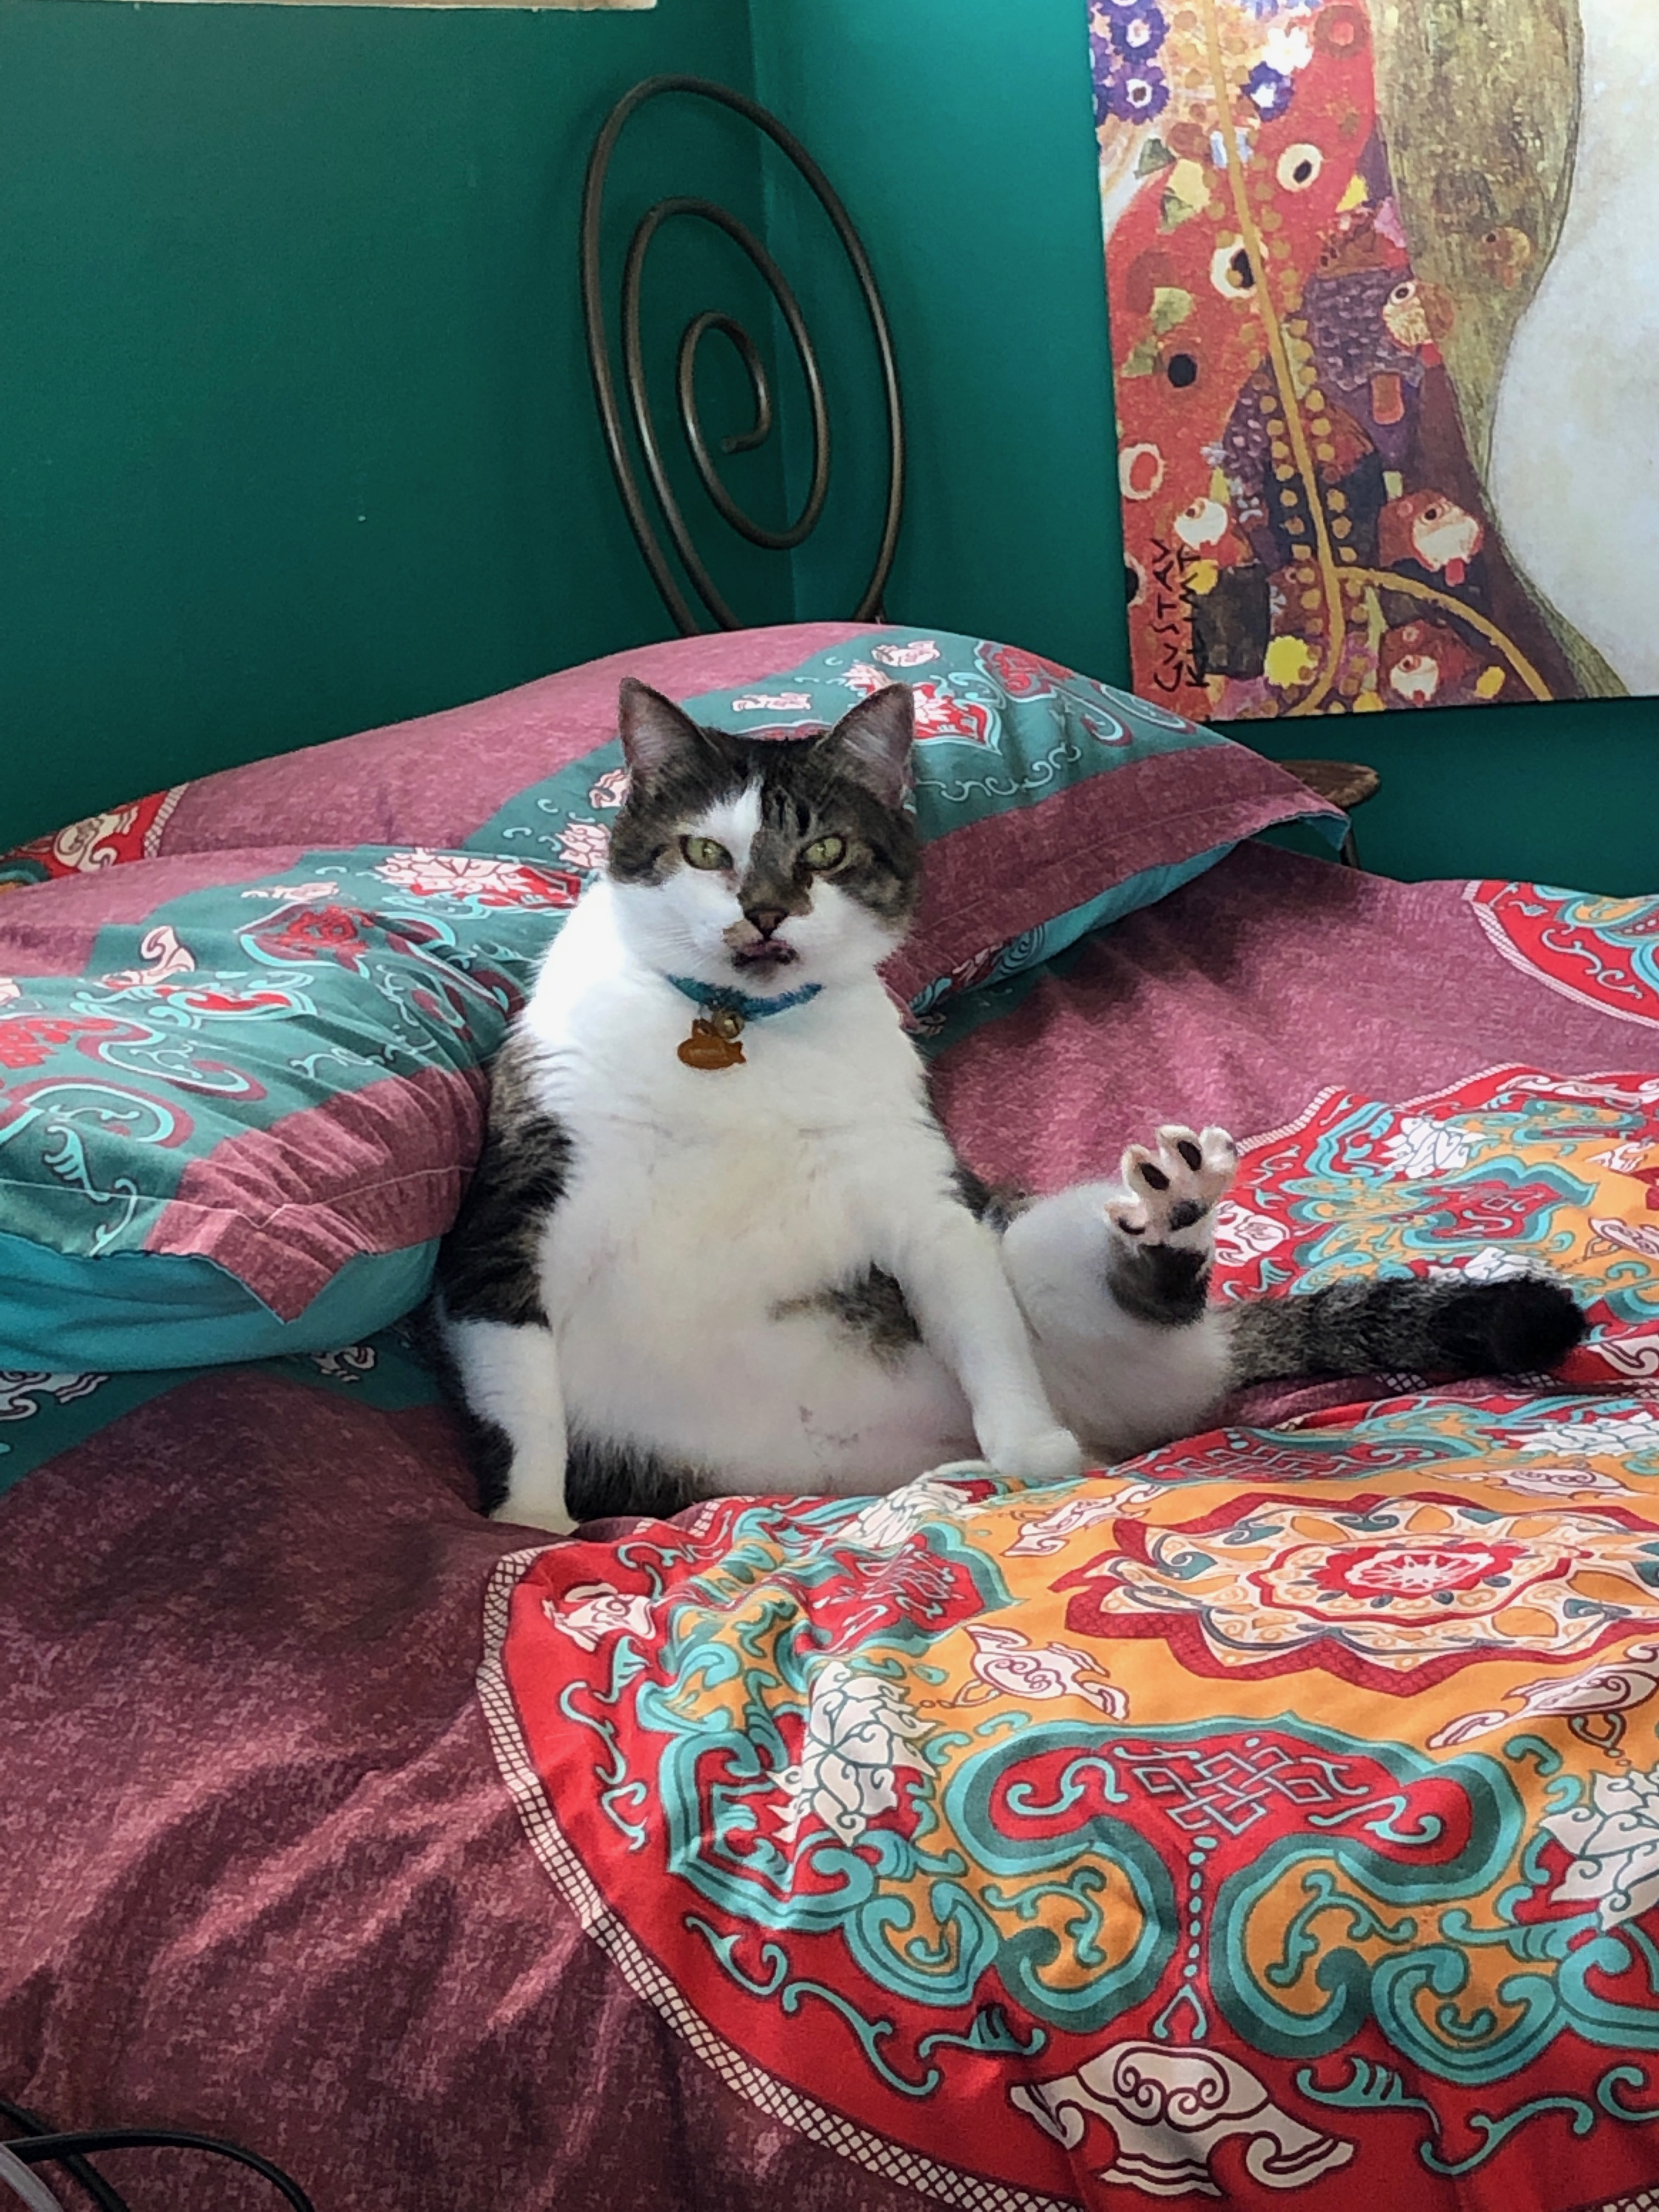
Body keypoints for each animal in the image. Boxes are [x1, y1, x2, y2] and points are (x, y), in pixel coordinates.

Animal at [436, 681, 1593, 1531]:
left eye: (823, 851)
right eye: (704, 851)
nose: (763, 912)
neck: (739, 1038)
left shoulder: (929, 1207)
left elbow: (981, 1328)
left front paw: (1025, 1445)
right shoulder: (513, 1221)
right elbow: (523, 1392)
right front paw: (532, 1524)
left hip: (1038, 1236)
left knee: (1127, 1294)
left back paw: (1165, 1222)